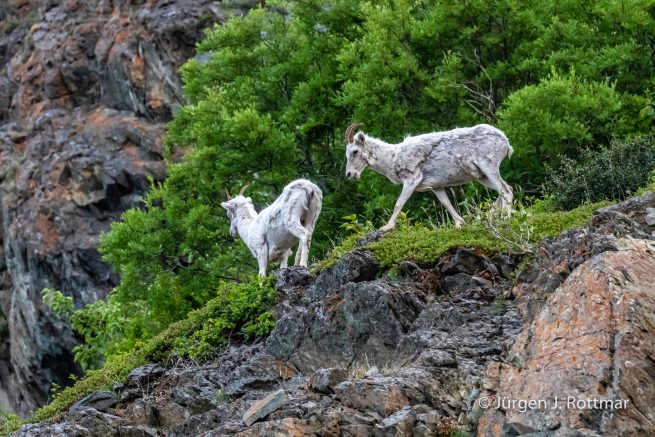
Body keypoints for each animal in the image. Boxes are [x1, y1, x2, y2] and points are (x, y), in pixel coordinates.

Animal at [344, 123, 513, 231]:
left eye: (354, 151)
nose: (349, 174)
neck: (392, 158)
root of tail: (506, 142)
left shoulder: (411, 180)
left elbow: (399, 204)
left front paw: (386, 227)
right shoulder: (436, 186)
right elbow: (446, 203)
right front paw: (460, 224)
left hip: (488, 167)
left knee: (506, 191)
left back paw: (505, 219)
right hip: (482, 176)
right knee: (504, 190)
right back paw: (486, 217)